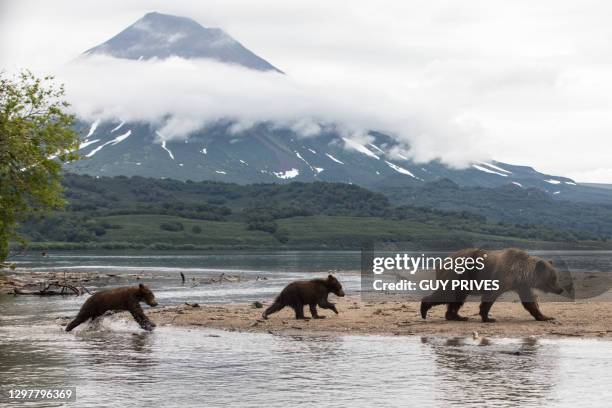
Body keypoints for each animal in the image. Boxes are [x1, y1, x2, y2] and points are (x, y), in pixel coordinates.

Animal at [420, 249, 564, 322]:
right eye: (554, 278)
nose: (560, 289)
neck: (520, 272)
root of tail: (442, 262)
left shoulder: (522, 285)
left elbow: (530, 301)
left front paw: (545, 316)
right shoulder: (502, 276)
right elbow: (489, 297)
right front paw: (488, 317)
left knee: (456, 299)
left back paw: (457, 316)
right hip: (459, 274)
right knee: (447, 294)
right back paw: (424, 309)